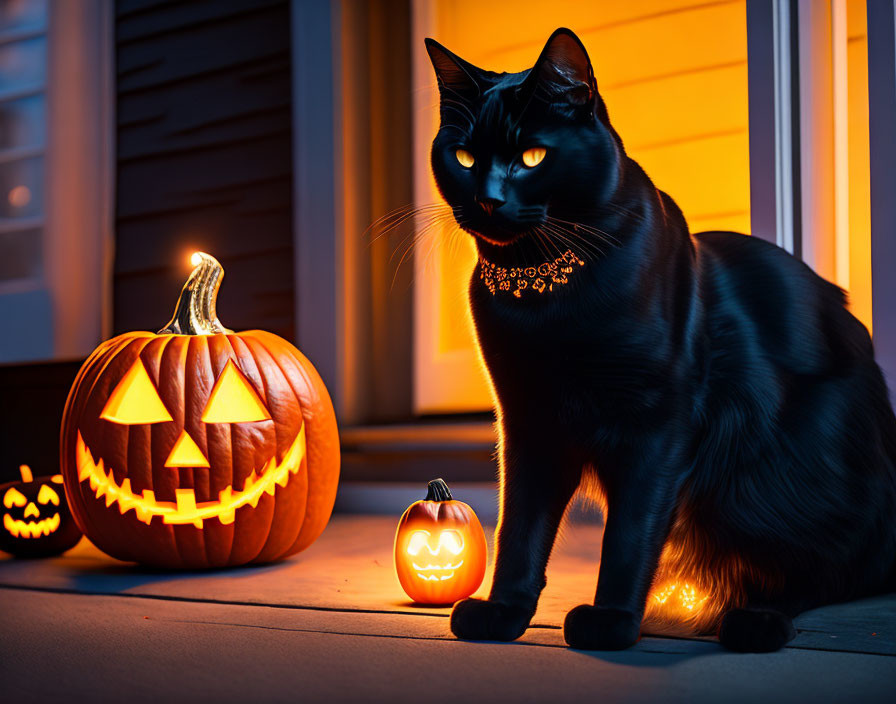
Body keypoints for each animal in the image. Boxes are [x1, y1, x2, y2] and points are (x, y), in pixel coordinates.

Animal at [426, 27, 896, 656]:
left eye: (532, 157)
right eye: (464, 157)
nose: (488, 200)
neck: (544, 291)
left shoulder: (657, 424)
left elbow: (630, 533)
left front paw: (611, 621)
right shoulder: (527, 421)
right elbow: (520, 527)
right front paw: (505, 612)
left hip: (781, 475)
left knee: (825, 572)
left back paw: (753, 620)